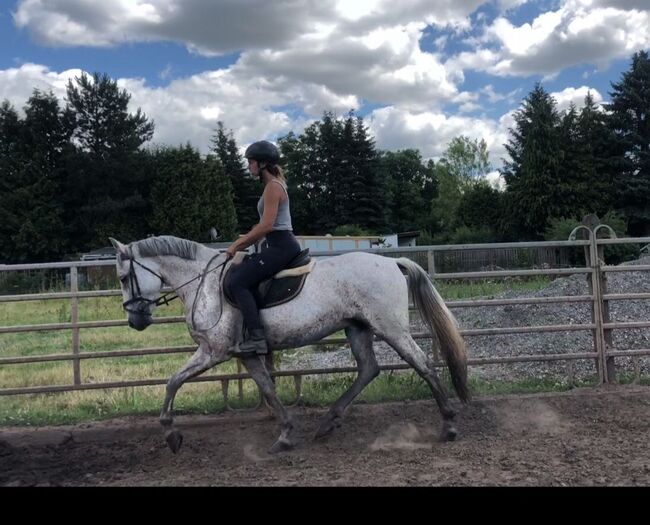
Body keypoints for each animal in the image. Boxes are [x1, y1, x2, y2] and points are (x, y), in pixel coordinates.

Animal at [110, 235, 466, 452]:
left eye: (124, 278)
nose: (135, 321)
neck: (204, 283)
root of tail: (392, 262)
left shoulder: (213, 351)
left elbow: (173, 381)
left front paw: (171, 434)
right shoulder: (247, 355)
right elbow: (268, 388)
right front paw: (285, 434)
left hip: (390, 328)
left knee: (423, 365)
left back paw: (449, 425)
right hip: (358, 328)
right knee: (368, 369)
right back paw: (327, 421)